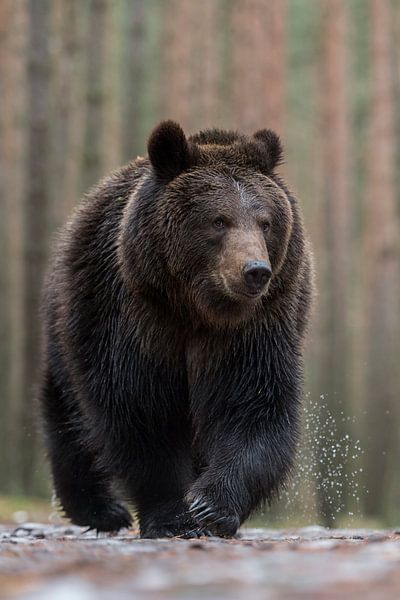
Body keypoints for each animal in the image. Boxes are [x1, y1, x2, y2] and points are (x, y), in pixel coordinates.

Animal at [39, 119, 316, 536]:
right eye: (219, 220)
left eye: (265, 222)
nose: (255, 271)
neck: (196, 308)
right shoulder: (134, 317)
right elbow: (139, 410)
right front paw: (172, 515)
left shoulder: (254, 329)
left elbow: (252, 406)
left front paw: (211, 505)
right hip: (71, 323)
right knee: (69, 416)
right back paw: (101, 509)